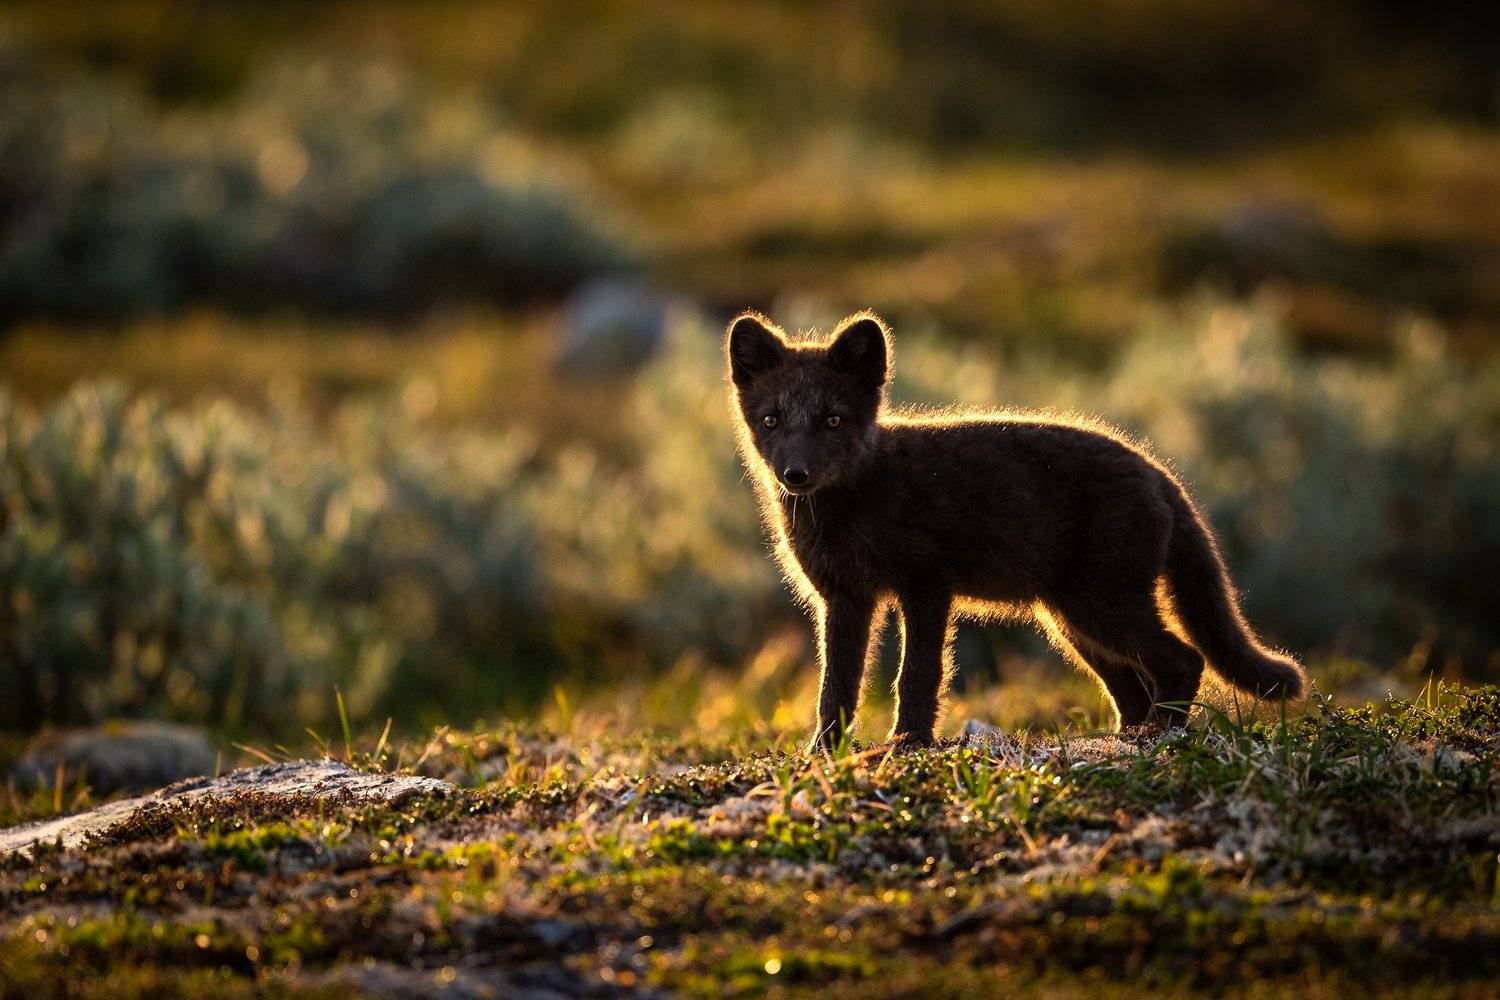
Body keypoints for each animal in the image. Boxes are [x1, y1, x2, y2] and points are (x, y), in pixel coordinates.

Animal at [725, 310, 1304, 749]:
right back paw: (1127, 738)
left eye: (832, 420)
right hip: (1073, 622)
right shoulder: (845, 598)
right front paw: (825, 751)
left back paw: (1160, 735)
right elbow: (837, 685)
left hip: (1102, 607)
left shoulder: (926, 585)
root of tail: (1159, 472)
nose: (795, 475)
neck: (853, 502)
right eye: (772, 420)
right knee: (1132, 686)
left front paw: (909, 742)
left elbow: (918, 672)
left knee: (1184, 658)